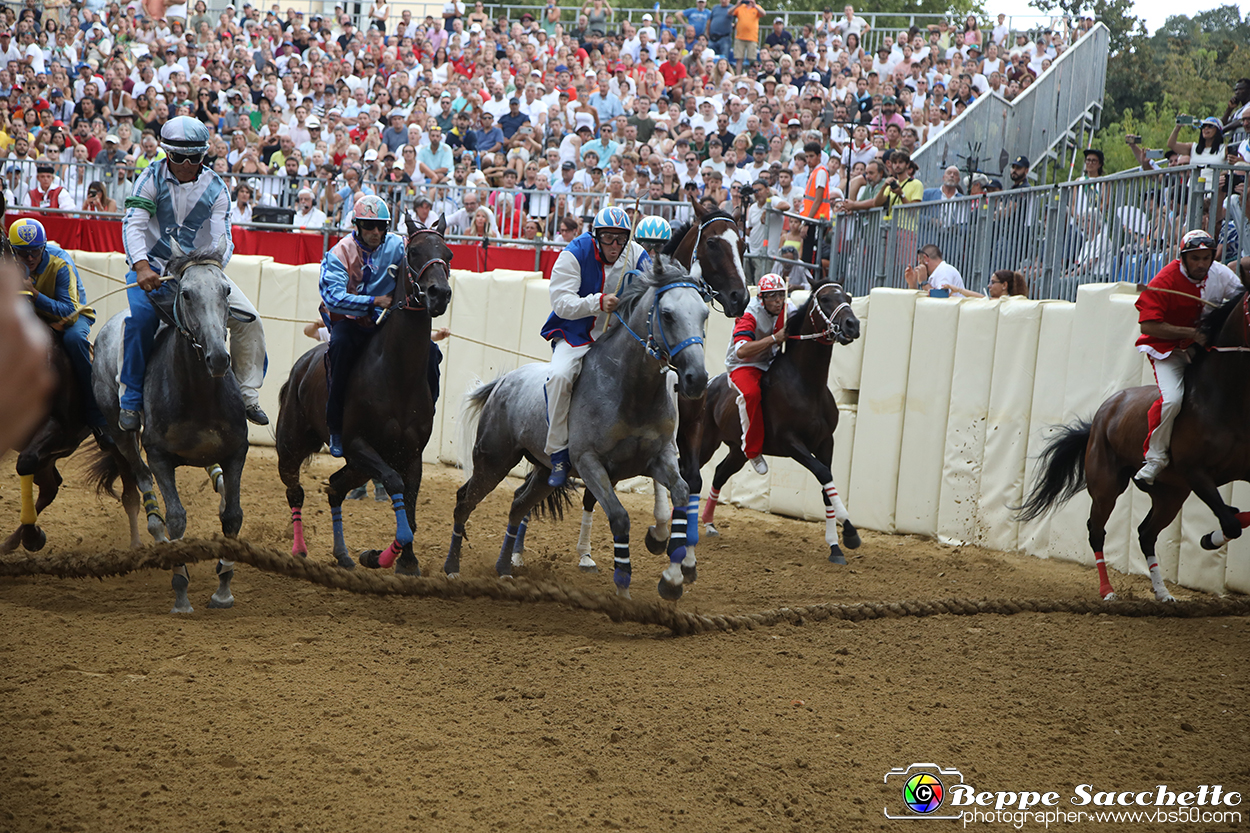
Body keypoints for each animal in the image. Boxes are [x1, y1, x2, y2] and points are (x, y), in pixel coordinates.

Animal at [87, 236, 248, 612]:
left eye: (226, 290)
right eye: (186, 293)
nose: (219, 358)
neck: (201, 396)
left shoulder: (236, 451)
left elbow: (232, 515)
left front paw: (223, 587)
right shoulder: (160, 456)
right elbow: (176, 516)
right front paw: (181, 591)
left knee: (215, 481)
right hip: (120, 431)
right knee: (141, 477)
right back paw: (157, 536)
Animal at [273, 213, 455, 575]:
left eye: (449, 254)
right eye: (413, 251)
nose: (439, 293)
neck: (396, 376)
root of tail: (301, 366)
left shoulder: (410, 454)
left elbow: (410, 503)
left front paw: (406, 562)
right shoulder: (358, 443)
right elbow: (396, 486)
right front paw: (381, 556)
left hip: (358, 464)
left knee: (334, 487)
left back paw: (342, 554)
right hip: (293, 445)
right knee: (295, 491)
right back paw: (300, 550)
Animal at [445, 252, 710, 597]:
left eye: (705, 313)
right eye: (667, 315)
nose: (697, 378)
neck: (630, 388)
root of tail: (502, 382)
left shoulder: (659, 457)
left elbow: (680, 493)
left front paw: (673, 574)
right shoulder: (590, 463)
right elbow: (620, 517)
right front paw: (623, 583)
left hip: (545, 474)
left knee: (518, 504)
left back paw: (504, 568)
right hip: (493, 461)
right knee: (465, 501)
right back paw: (452, 568)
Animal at [700, 278, 865, 565]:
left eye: (847, 297)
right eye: (825, 300)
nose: (852, 325)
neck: (807, 384)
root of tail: (709, 384)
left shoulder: (825, 441)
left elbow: (827, 487)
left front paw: (836, 546)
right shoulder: (790, 442)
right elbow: (823, 474)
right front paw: (850, 532)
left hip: (739, 451)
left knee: (719, 473)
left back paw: (709, 524)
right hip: (704, 442)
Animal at [1015, 260, 1250, 597]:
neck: (1224, 401)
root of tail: (1103, 414)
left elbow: (1234, 519)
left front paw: (1223, 520)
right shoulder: (1196, 472)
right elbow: (1230, 524)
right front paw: (1210, 537)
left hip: (1170, 492)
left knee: (1145, 533)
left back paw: (1163, 593)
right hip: (1107, 485)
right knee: (1097, 530)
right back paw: (1107, 590)